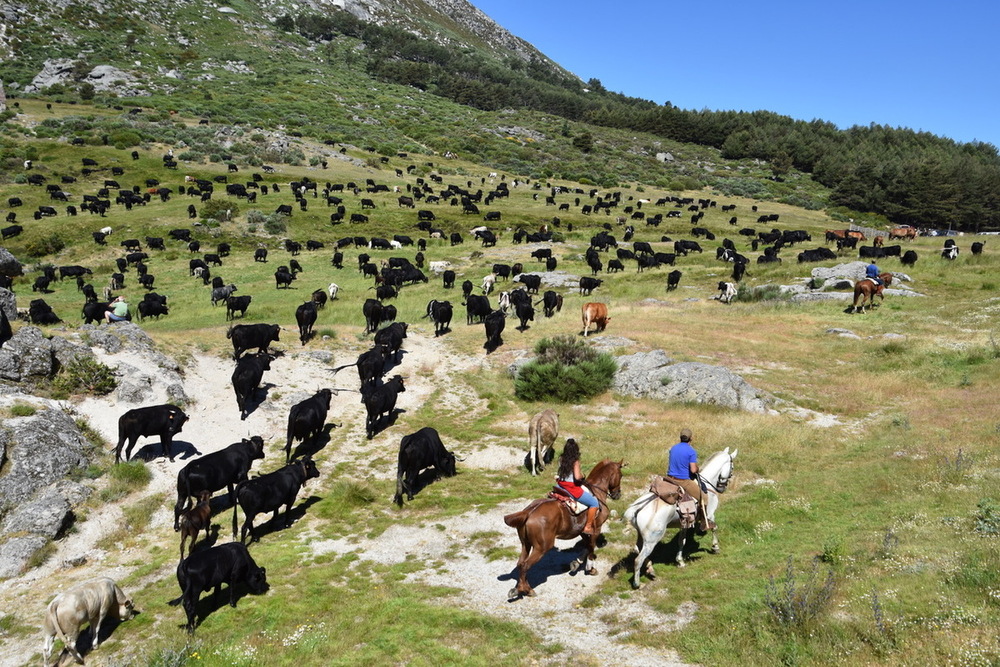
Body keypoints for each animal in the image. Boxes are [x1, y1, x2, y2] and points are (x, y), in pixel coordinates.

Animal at [504, 460, 620, 600]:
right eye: (620, 474)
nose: (617, 494)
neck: (596, 492)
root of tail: (528, 512)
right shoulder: (596, 528)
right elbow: (591, 548)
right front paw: (590, 568)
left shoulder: (582, 531)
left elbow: (586, 547)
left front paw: (576, 563)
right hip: (542, 547)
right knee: (525, 565)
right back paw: (527, 590)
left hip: (525, 544)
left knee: (520, 563)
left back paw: (518, 589)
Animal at [624, 448, 736, 588]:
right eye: (732, 467)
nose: (722, 488)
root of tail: (638, 508)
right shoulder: (709, 514)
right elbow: (714, 528)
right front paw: (715, 547)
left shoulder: (685, 523)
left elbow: (681, 541)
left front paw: (680, 561)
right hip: (652, 539)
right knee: (638, 559)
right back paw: (637, 583)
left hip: (642, 535)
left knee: (638, 549)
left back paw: (650, 569)